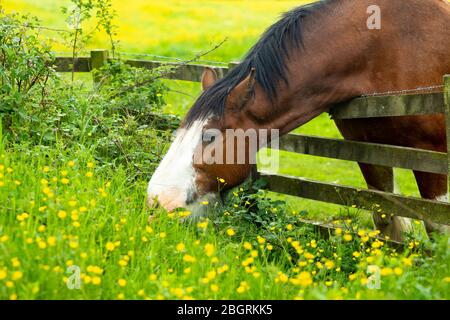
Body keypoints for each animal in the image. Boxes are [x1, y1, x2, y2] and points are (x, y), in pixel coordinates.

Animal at [148, 0, 450, 240]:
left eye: (209, 136)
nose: (157, 201)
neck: (387, 48)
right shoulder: (371, 149)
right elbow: (387, 220)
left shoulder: (431, 153)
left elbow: (437, 229)